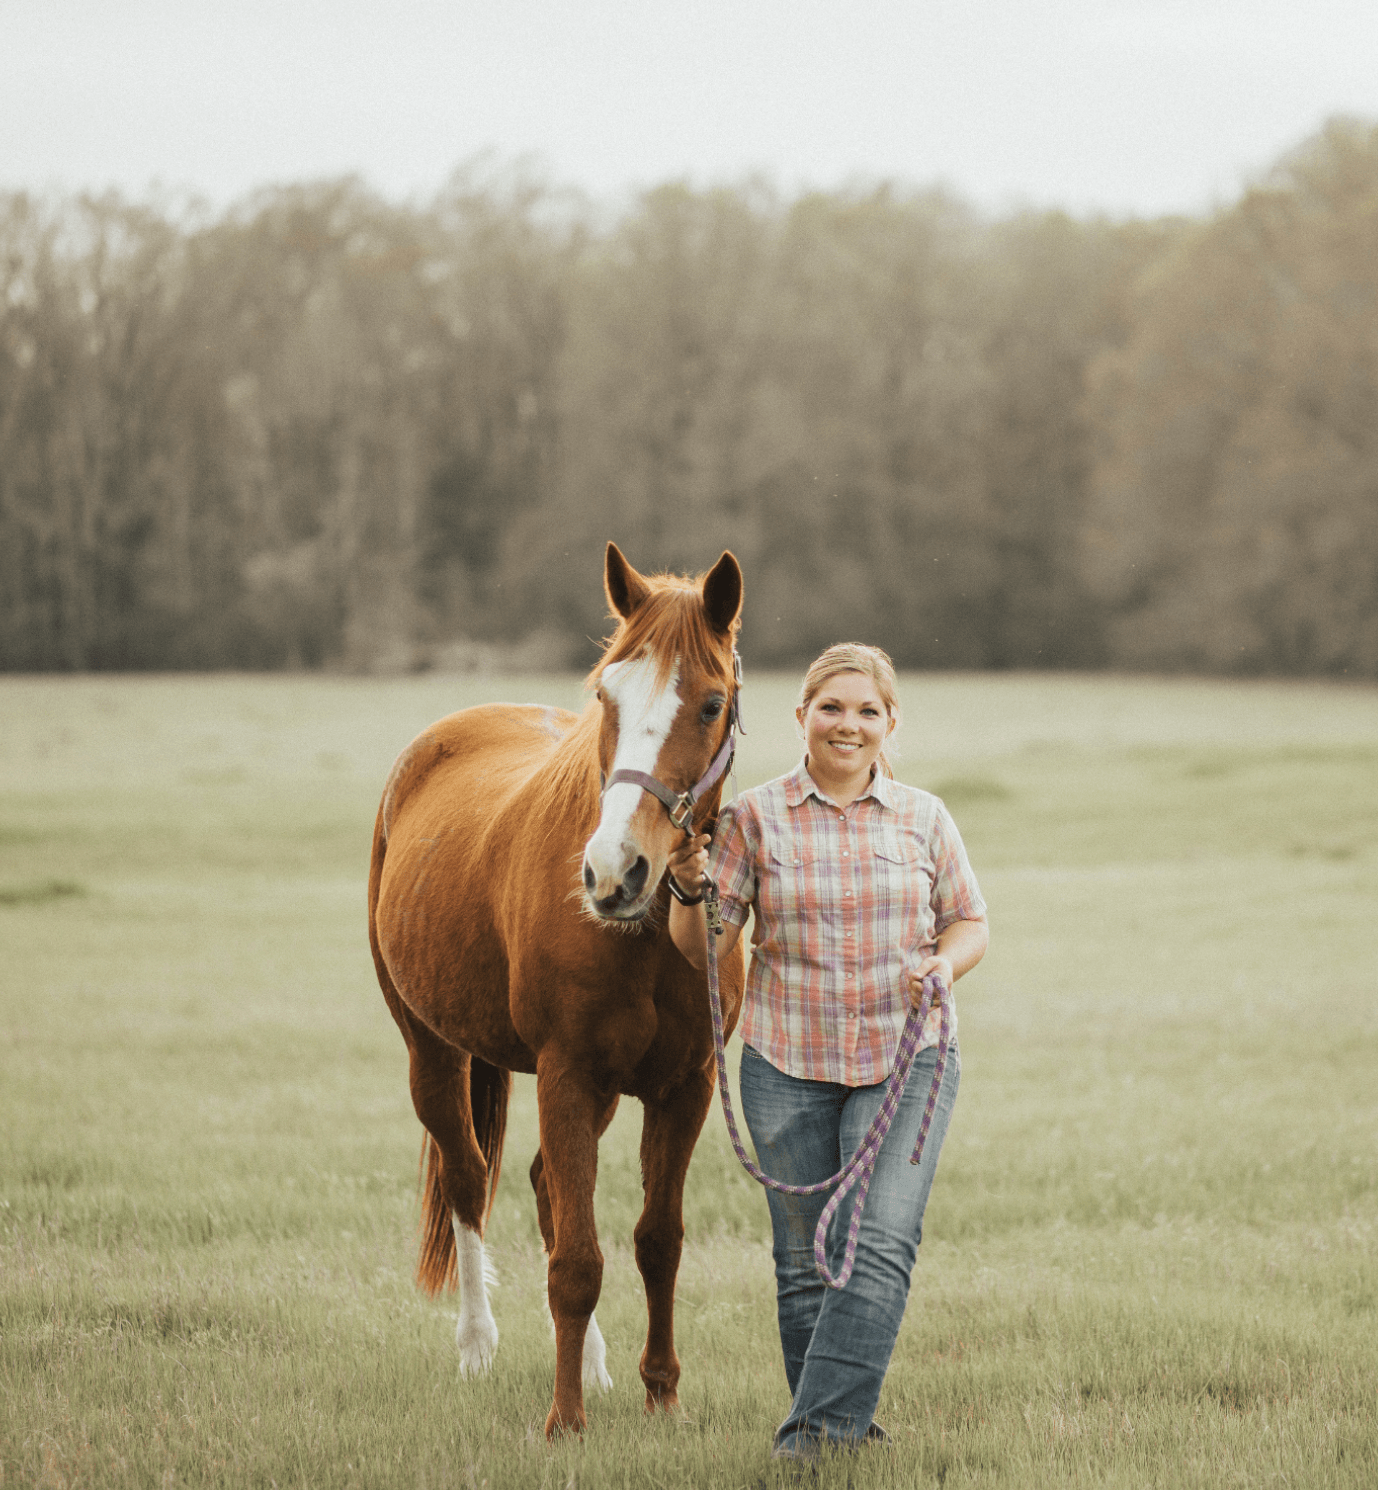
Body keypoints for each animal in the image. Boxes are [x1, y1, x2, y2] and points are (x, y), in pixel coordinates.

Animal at [367, 543, 747, 1438]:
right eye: (607, 693)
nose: (614, 872)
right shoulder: (568, 1073)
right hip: (432, 1052)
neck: (649, 935)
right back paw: (477, 1345)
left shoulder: (684, 1087)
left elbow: (655, 1240)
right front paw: (563, 1422)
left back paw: (598, 1363)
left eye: (711, 703)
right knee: (470, 1178)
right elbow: (576, 1259)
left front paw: (660, 1394)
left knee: (546, 1189)